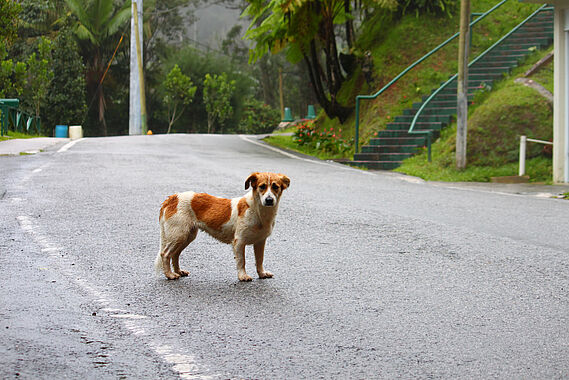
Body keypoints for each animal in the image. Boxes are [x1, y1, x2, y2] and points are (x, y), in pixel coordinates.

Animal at [154, 172, 288, 282]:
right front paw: (242, 276)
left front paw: (262, 274)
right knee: (165, 254)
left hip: (187, 236)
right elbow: (241, 261)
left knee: (175, 254)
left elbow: (260, 260)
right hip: (178, 235)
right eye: (262, 186)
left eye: (275, 187)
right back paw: (170, 275)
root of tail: (172, 198)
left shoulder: (260, 242)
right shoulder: (239, 242)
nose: (269, 200)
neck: (257, 211)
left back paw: (178, 271)